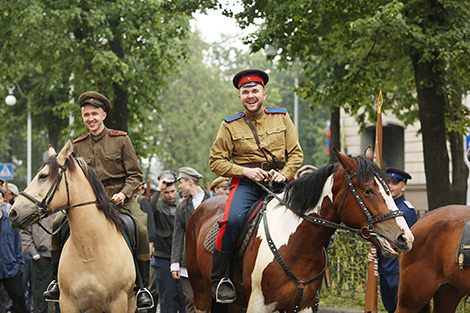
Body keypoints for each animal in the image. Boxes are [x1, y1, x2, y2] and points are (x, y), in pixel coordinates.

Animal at [185, 147, 414, 312]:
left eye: (389, 188)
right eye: (368, 190)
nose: (406, 237)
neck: (298, 245)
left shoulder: (305, 305)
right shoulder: (259, 304)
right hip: (201, 292)